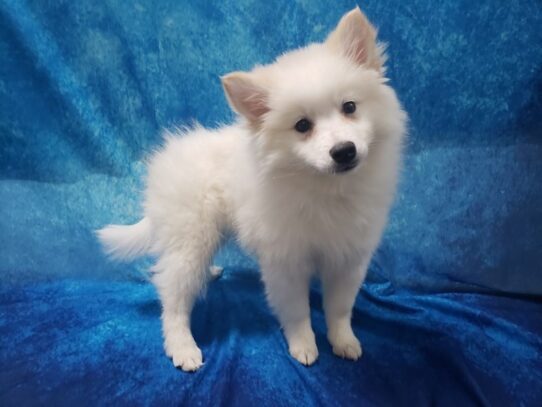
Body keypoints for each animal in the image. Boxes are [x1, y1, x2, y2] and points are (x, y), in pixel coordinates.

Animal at [98, 7, 406, 372]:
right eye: (302, 126)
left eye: (350, 107)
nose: (344, 151)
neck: (324, 186)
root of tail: (163, 164)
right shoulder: (285, 262)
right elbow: (297, 311)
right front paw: (304, 346)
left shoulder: (349, 257)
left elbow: (340, 308)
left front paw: (344, 341)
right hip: (190, 236)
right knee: (172, 295)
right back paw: (183, 347)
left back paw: (211, 274)